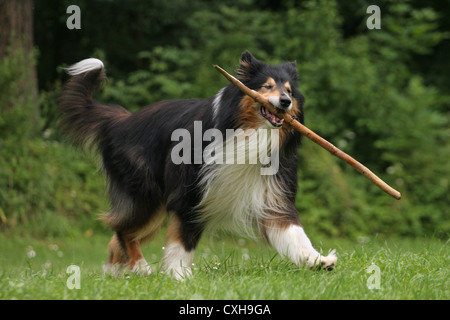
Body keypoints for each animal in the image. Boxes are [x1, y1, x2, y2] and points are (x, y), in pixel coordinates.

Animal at [59, 51, 334, 278]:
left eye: (289, 90)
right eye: (267, 86)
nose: (286, 101)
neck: (248, 135)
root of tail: (119, 121)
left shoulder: (273, 196)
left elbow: (294, 233)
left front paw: (317, 260)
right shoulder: (190, 194)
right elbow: (183, 242)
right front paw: (179, 276)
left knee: (117, 237)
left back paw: (118, 272)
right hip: (147, 196)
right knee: (122, 229)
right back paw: (140, 266)